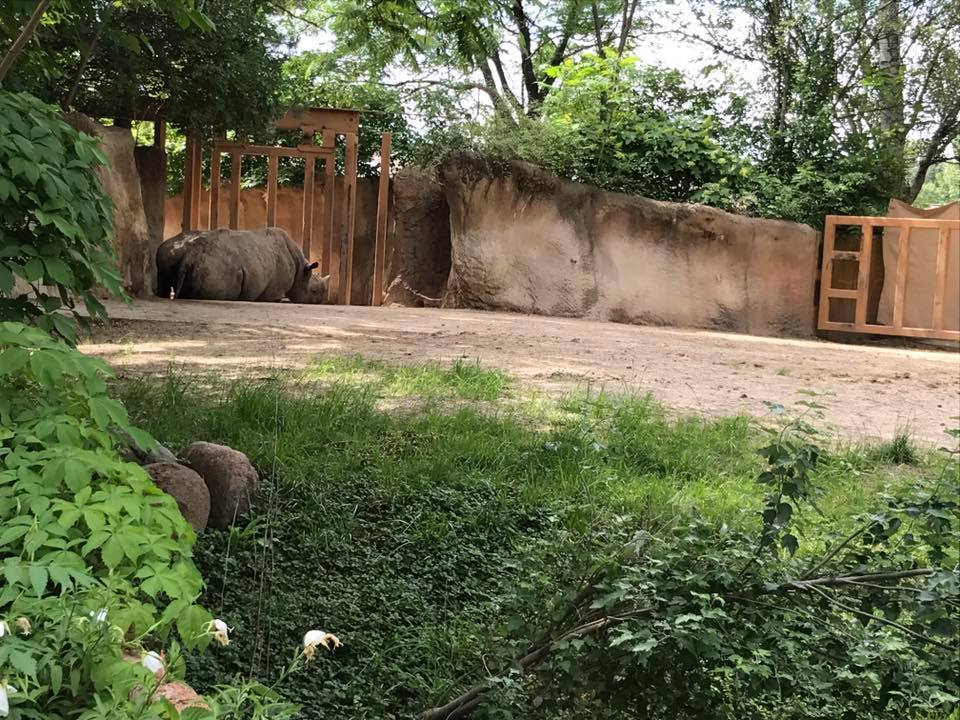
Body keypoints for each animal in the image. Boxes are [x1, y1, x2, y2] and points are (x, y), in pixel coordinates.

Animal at [157, 227, 329, 304]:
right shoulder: (274, 292)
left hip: (169, 251)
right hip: (215, 268)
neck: (301, 271)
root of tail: (191, 254)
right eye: (314, 291)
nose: (321, 301)